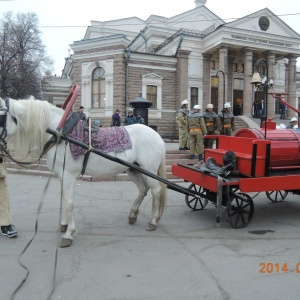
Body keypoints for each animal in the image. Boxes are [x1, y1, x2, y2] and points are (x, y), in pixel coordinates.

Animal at [0, 97, 166, 247]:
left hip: (148, 169)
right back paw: (133, 214)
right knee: (143, 189)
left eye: (1, 115)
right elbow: (64, 199)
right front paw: (64, 225)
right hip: (132, 169)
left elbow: (68, 202)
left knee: (156, 190)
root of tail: (157, 135)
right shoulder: (61, 176)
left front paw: (69, 233)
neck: (62, 134)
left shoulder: (68, 175)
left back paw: (153, 221)